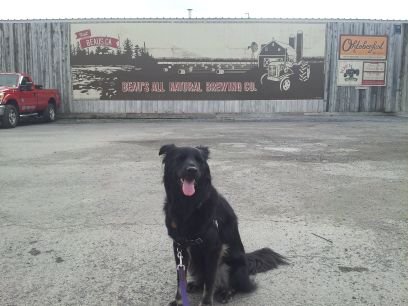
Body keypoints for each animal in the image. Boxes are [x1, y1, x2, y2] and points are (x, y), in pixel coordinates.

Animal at [159, 144, 286, 306]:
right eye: (180, 158)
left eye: (199, 161)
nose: (192, 170)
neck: (189, 205)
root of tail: (247, 260)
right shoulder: (179, 247)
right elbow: (181, 278)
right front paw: (179, 301)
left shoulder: (214, 249)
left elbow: (210, 281)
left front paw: (206, 303)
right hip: (195, 262)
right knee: (202, 278)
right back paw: (195, 285)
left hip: (231, 266)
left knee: (238, 285)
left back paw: (227, 292)